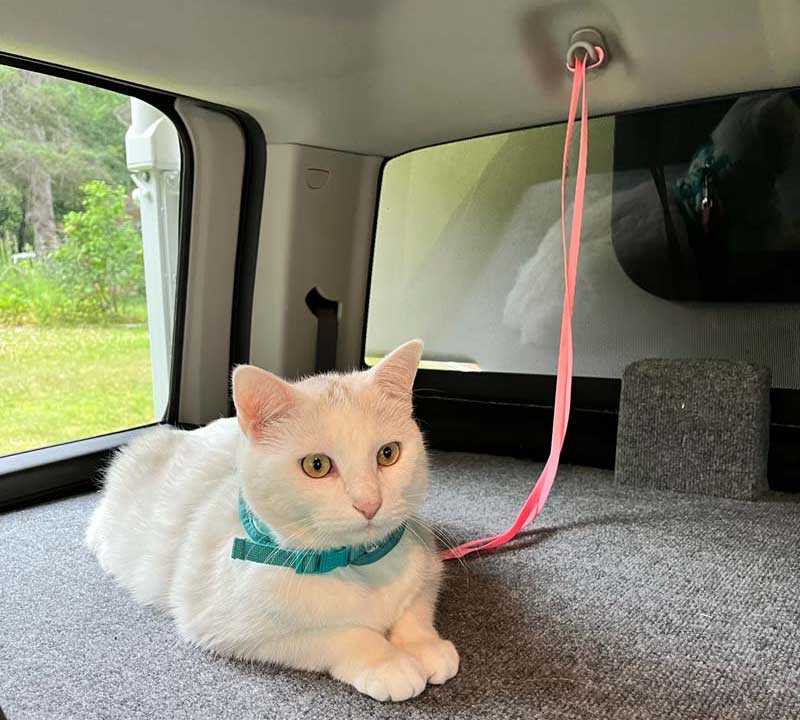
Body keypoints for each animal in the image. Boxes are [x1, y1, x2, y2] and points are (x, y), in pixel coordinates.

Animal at [85, 340, 460, 700]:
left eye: (388, 453)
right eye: (316, 465)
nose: (369, 503)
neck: (357, 567)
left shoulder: (426, 560)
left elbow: (416, 606)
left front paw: (423, 645)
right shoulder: (230, 627)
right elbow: (338, 634)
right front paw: (386, 661)